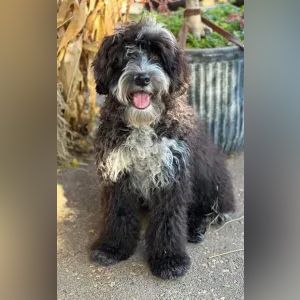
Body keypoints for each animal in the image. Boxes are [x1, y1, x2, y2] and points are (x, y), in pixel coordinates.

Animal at [90, 19, 236, 280]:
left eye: (157, 56)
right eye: (125, 55)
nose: (142, 78)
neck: (143, 123)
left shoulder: (172, 174)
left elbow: (169, 219)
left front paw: (170, 260)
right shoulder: (117, 173)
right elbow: (117, 212)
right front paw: (111, 248)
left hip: (210, 180)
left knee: (209, 209)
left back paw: (195, 228)